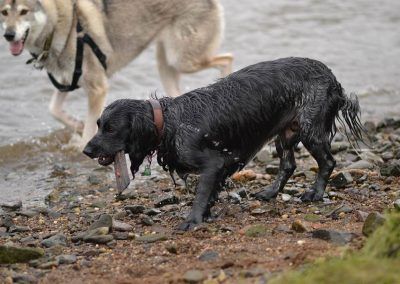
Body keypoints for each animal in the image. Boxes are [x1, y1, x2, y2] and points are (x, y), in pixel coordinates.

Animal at [0, 0, 233, 145]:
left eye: (24, 12)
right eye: (4, 12)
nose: (8, 35)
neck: (61, 25)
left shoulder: (97, 88)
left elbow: (88, 132)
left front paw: (81, 143)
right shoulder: (67, 81)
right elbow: (53, 110)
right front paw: (76, 124)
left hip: (183, 60)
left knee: (228, 58)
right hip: (166, 65)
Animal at [83, 56, 364, 230]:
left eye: (110, 128)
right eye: (98, 124)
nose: (86, 150)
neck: (169, 122)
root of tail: (332, 78)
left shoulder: (214, 163)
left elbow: (201, 194)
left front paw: (193, 219)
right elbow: (211, 193)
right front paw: (206, 214)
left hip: (310, 130)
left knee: (327, 161)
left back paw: (315, 193)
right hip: (284, 135)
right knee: (287, 166)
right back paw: (270, 192)